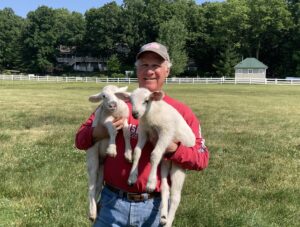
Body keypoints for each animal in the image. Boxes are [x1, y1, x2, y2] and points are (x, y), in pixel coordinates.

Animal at [85, 84, 131, 221]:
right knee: (91, 188)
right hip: (92, 160)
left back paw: (96, 207)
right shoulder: (106, 120)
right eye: (103, 96)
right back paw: (92, 213)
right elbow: (112, 130)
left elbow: (126, 132)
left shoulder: (124, 118)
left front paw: (128, 154)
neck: (115, 113)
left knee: (97, 187)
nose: (112, 104)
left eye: (117, 94)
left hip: (102, 168)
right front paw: (112, 149)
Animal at [126, 87, 195, 227]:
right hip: (165, 162)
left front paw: (150, 184)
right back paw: (163, 217)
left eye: (146, 101)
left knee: (175, 196)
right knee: (165, 188)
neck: (150, 115)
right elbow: (137, 152)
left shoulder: (166, 132)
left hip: (179, 166)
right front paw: (132, 177)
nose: (135, 114)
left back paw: (168, 221)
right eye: (130, 100)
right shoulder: (144, 131)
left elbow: (154, 154)